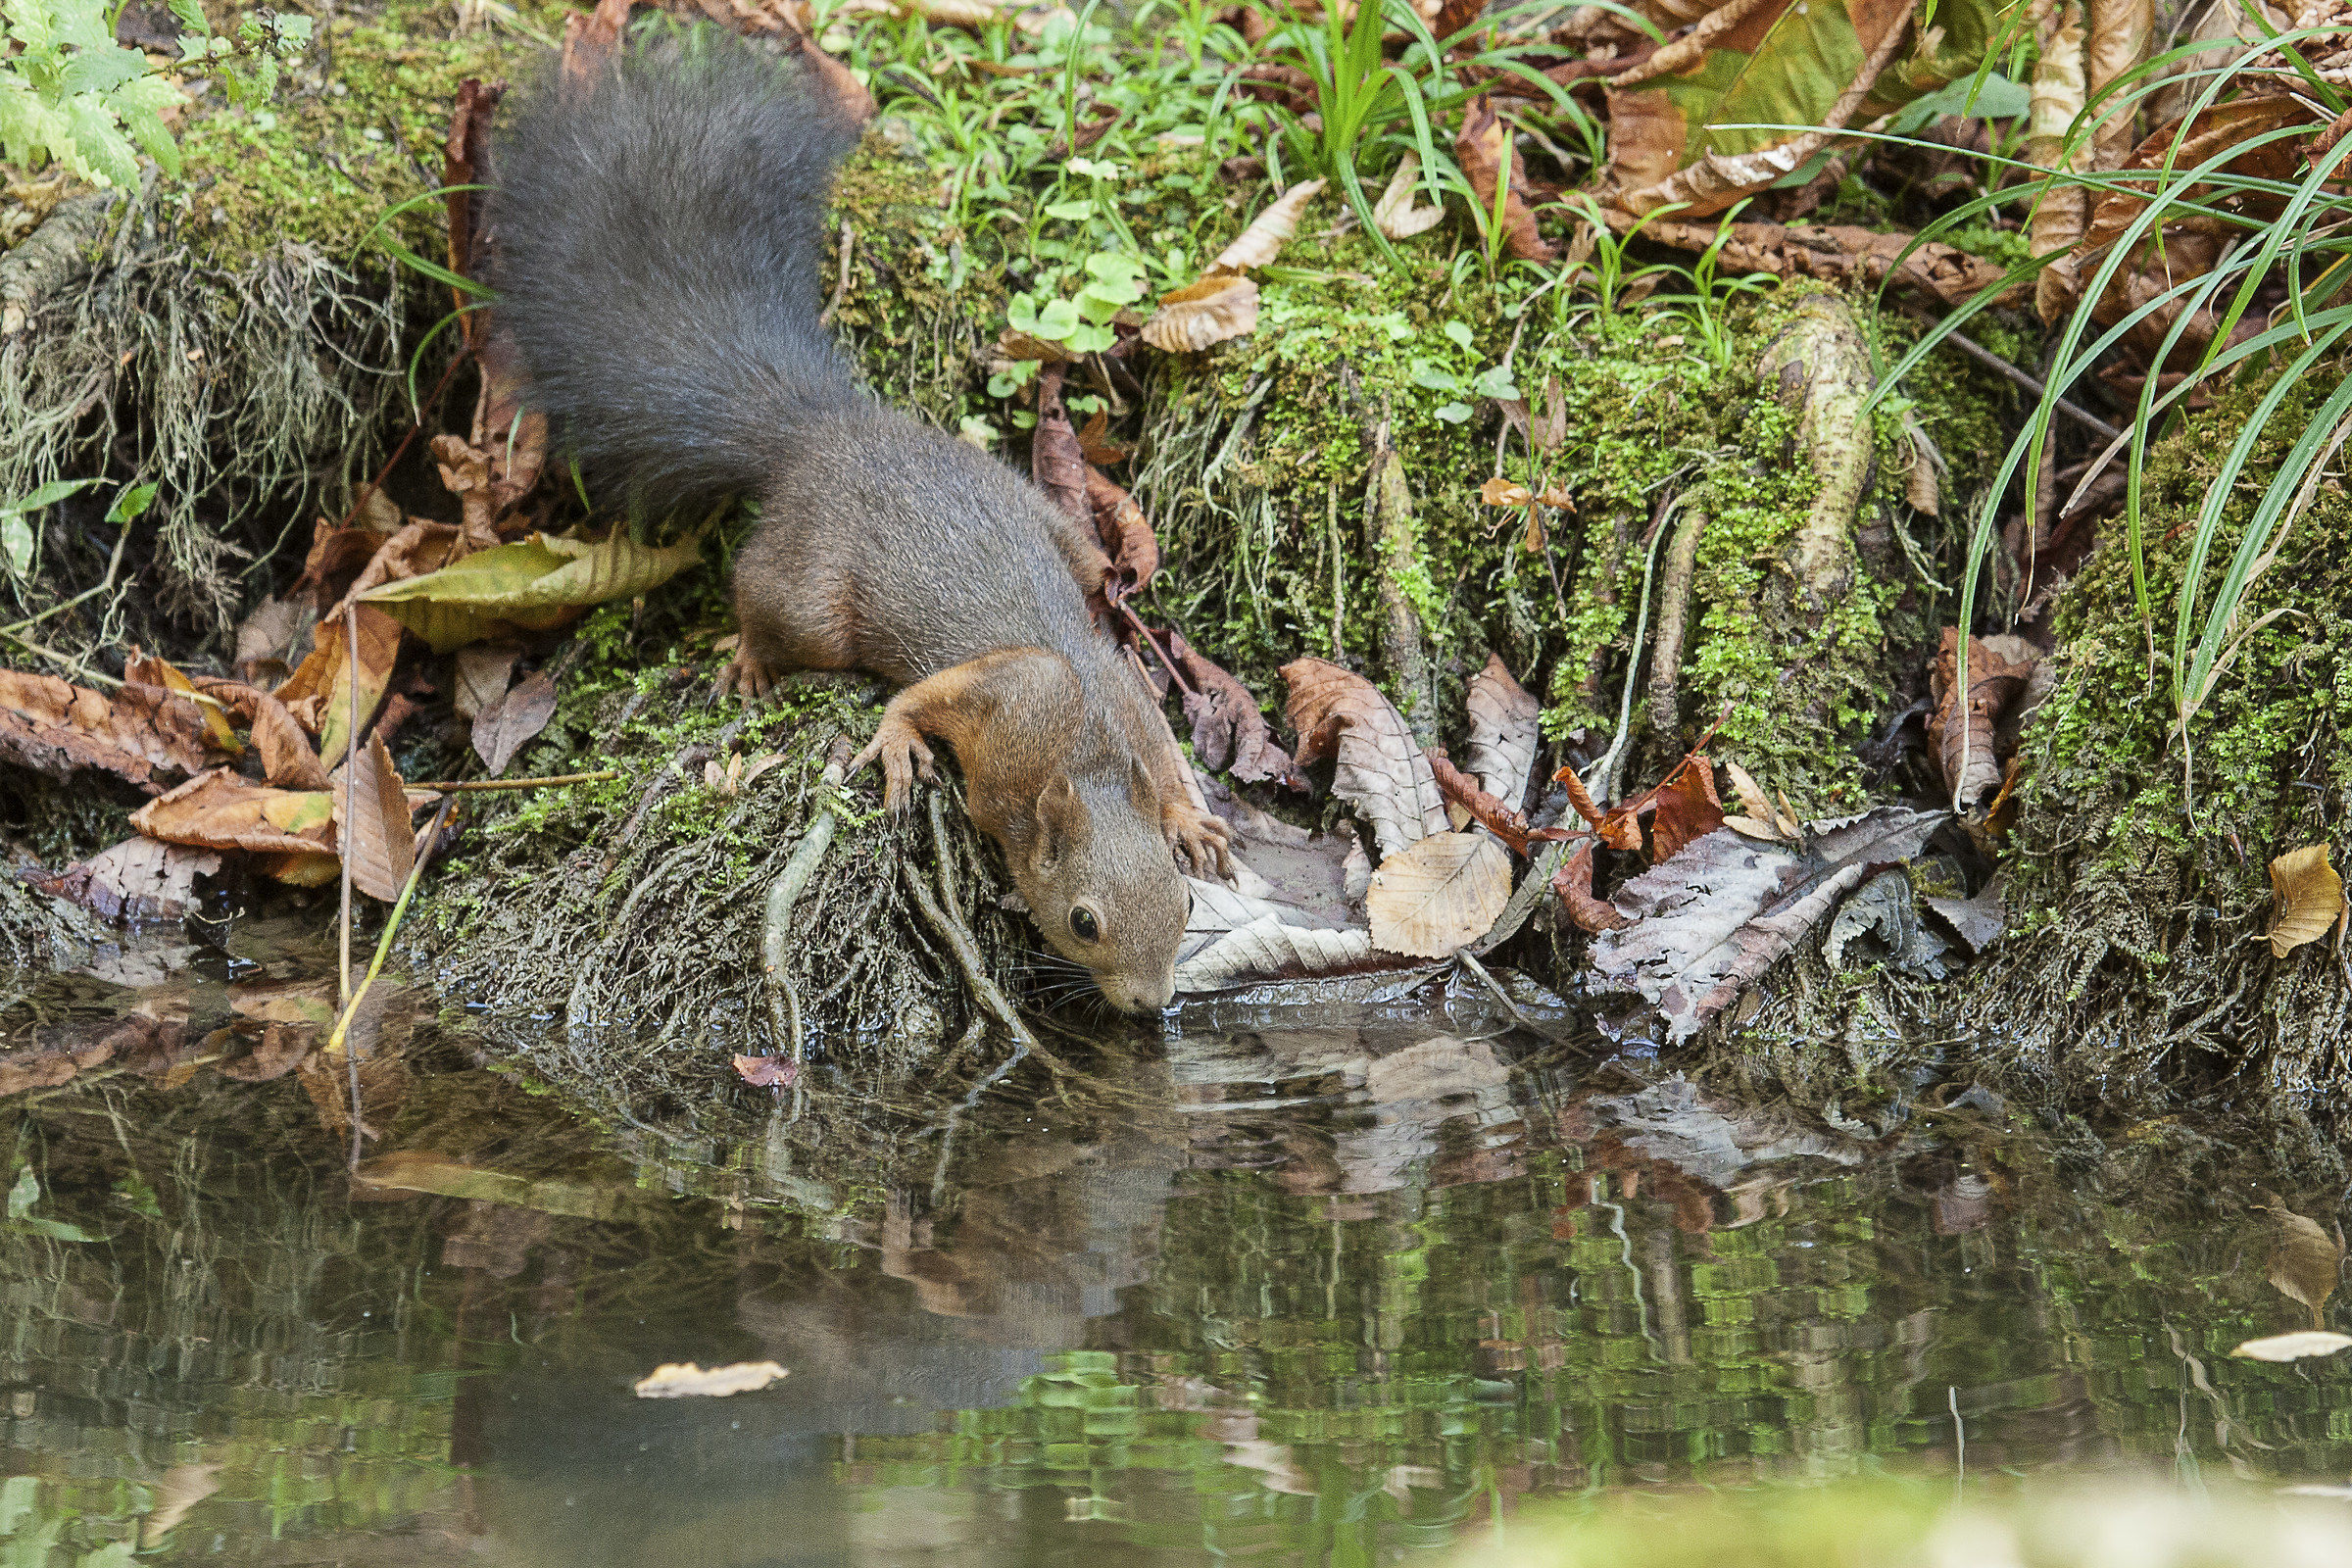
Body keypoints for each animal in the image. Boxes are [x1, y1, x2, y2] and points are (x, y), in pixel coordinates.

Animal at [488, 34, 1231, 1013]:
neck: (1090, 758)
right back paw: (752, 658)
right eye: (1083, 921)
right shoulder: (1009, 704)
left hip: (1060, 530)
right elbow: (929, 695)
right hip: (812, 593)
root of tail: (823, 433)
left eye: (1184, 905)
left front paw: (1192, 819)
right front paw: (898, 743)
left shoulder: (1131, 702)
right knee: (761, 593)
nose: (1152, 1006)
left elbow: (1165, 749)